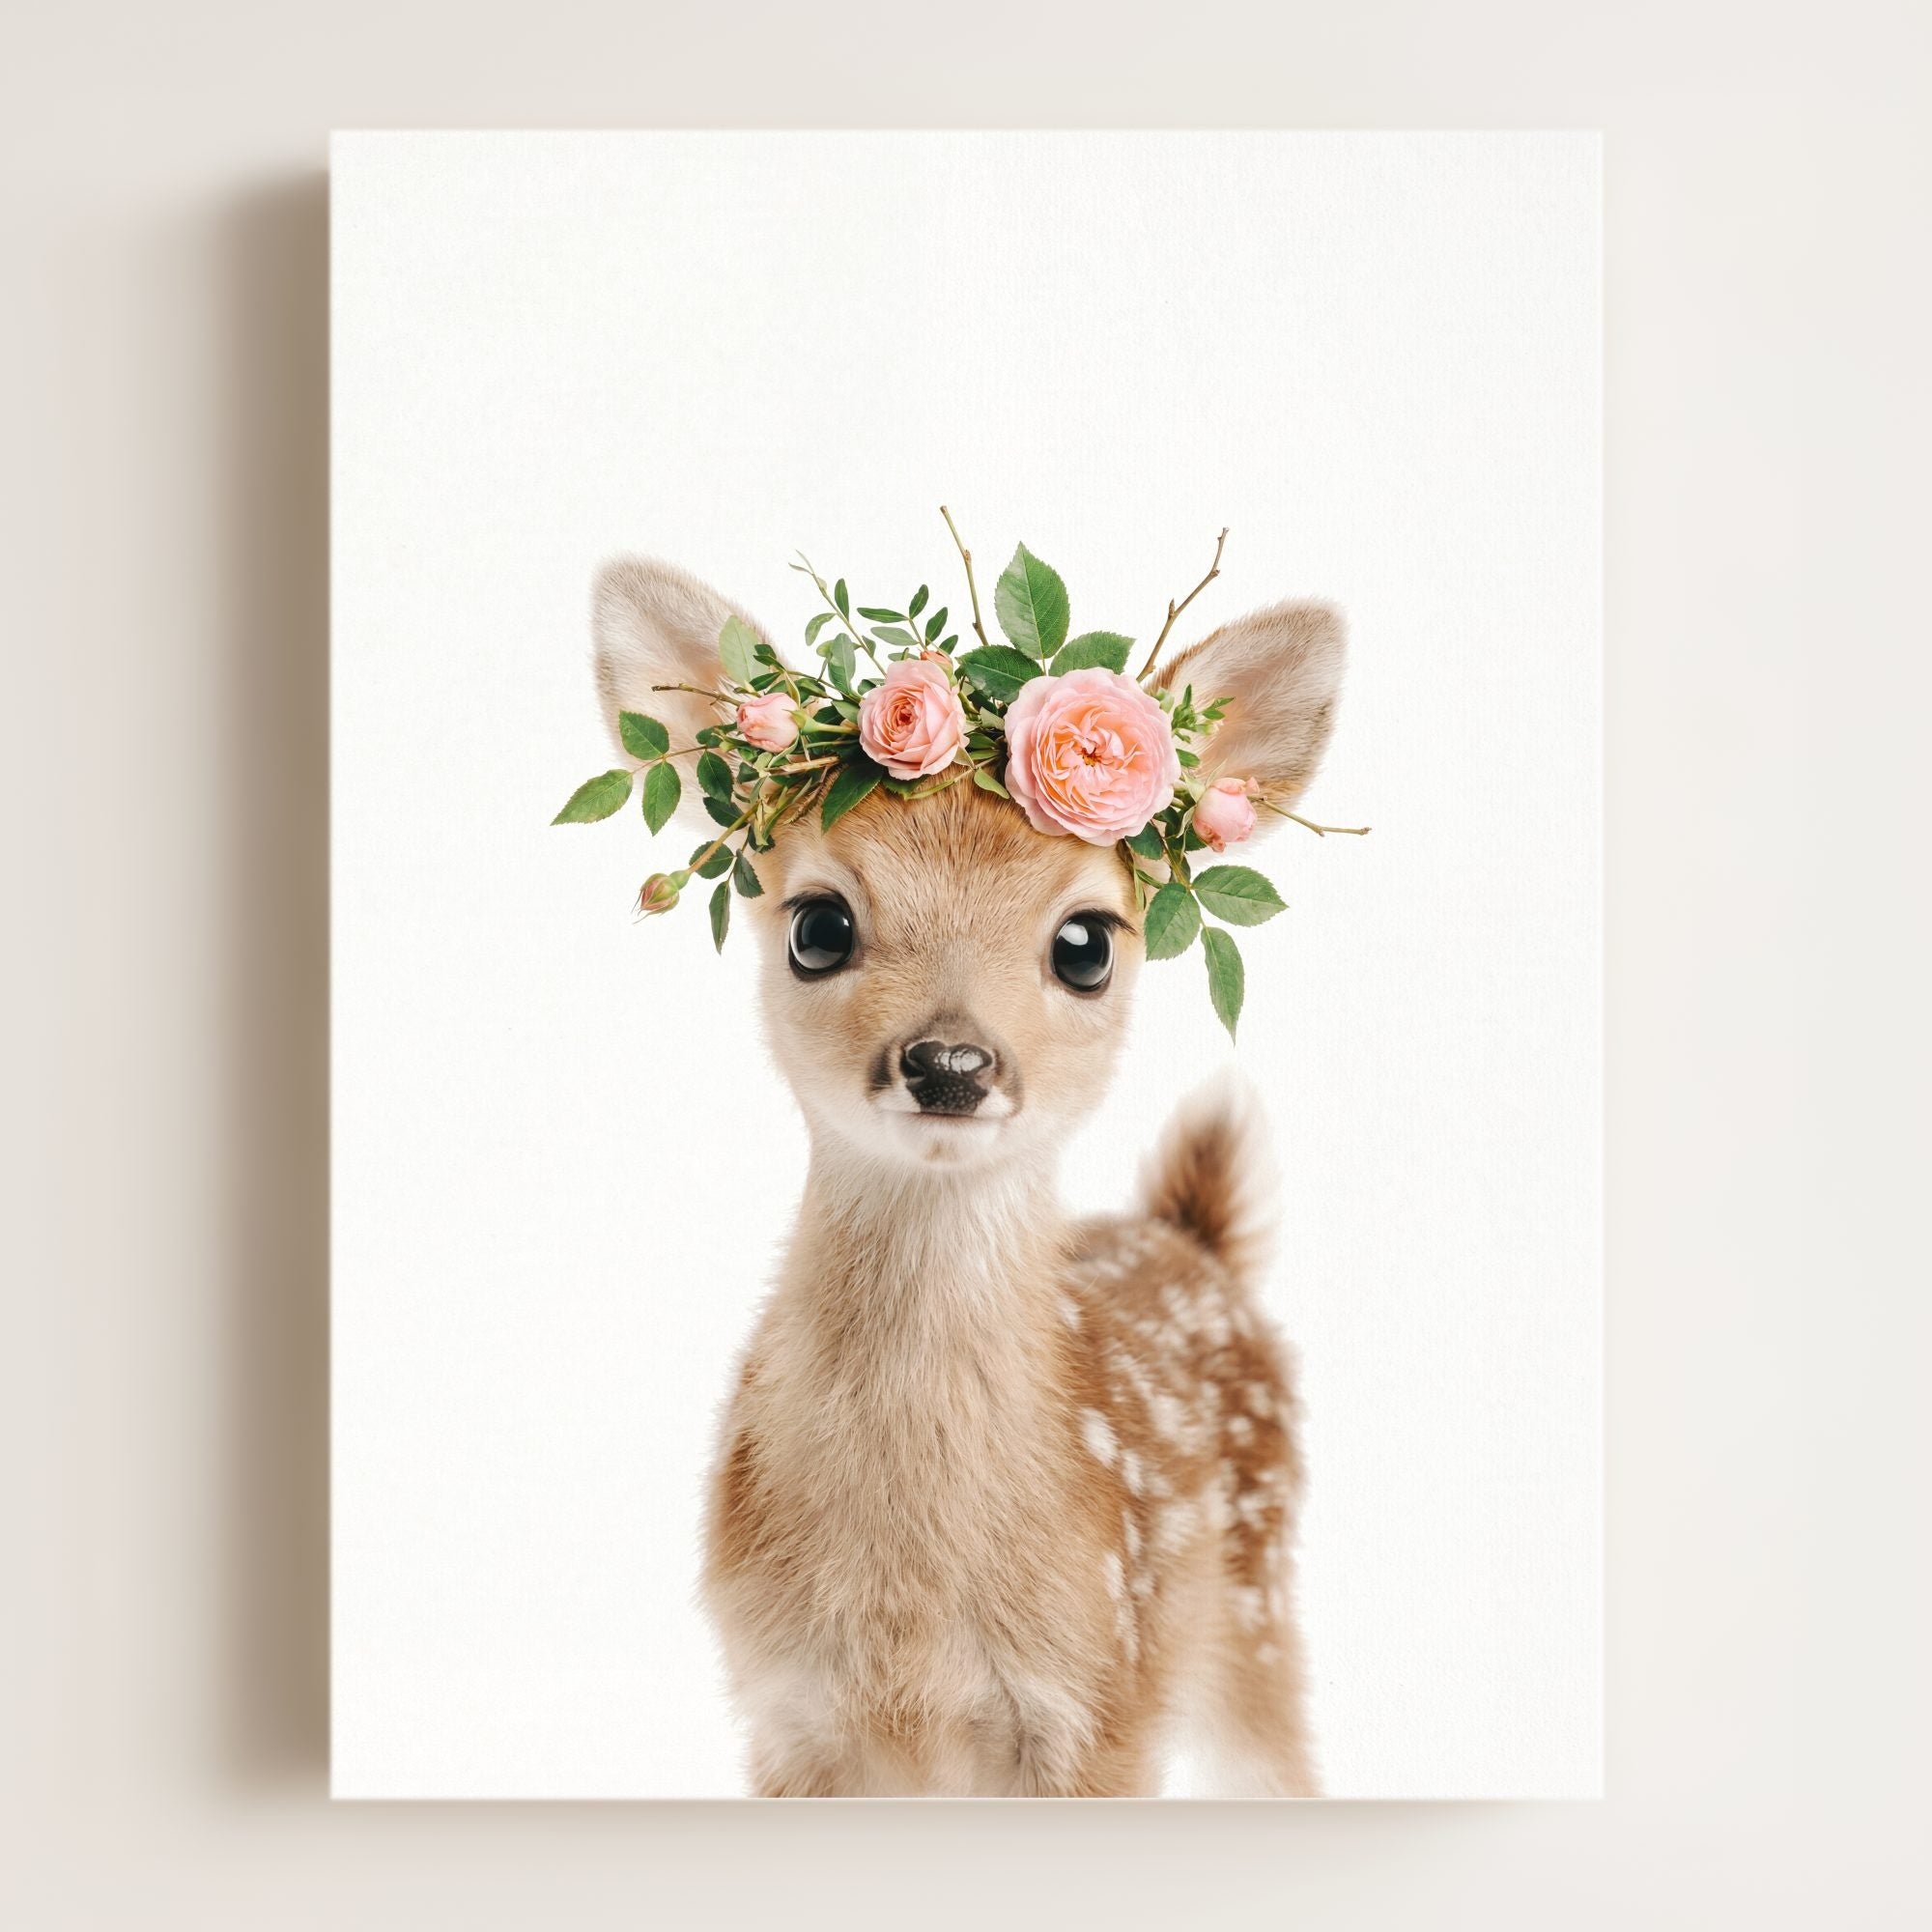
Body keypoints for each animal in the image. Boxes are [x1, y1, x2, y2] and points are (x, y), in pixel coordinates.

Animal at [589, 553, 1347, 1796]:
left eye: (1085, 942)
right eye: (817, 925)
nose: (949, 1062)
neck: (911, 1612)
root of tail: (1190, 1237)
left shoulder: (1101, 1702)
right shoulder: (784, 1712)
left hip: (1256, 1610)